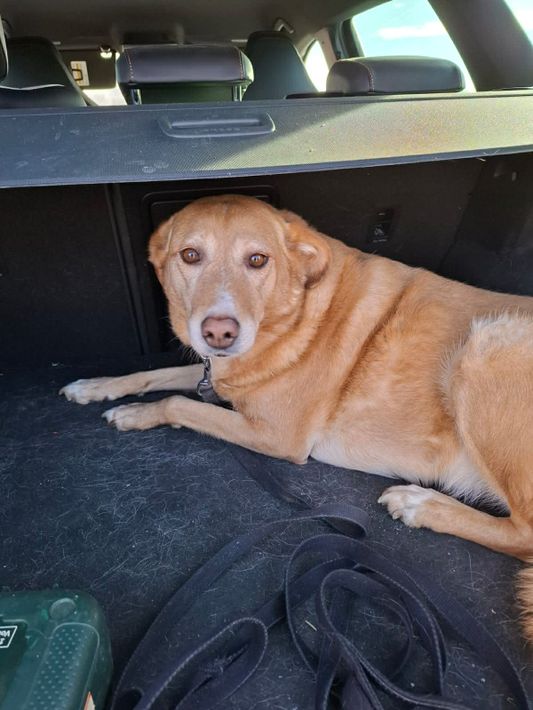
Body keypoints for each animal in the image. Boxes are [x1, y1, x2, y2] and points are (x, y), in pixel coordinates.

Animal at [60, 194, 533, 641]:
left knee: (523, 534)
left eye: (257, 260)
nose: (219, 332)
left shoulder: (279, 437)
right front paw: (97, 386)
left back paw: (421, 505)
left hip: (487, 345)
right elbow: (157, 374)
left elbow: (178, 403)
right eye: (190, 255)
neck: (291, 312)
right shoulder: (218, 375)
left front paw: (135, 413)